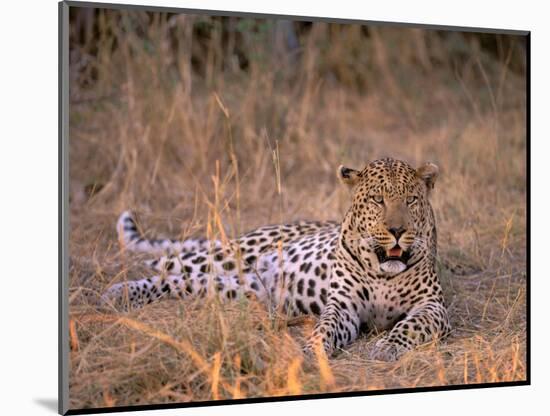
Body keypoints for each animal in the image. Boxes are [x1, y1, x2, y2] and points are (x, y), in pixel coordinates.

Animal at [102, 157, 452, 360]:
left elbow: (410, 325)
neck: (382, 271)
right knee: (166, 263)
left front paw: (388, 347)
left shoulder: (433, 307)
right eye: (378, 200)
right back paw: (116, 290)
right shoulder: (343, 305)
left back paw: (123, 294)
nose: (397, 230)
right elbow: (326, 326)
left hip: (240, 288)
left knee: (181, 280)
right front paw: (313, 348)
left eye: (412, 200)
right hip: (229, 255)